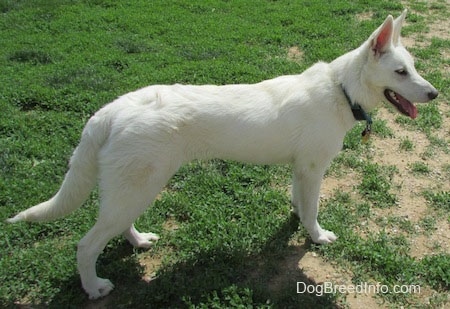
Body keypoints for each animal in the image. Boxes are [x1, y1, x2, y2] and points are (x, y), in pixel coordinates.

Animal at [6, 10, 436, 298]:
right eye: (400, 73)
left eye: (413, 68)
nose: (434, 94)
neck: (341, 90)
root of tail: (109, 110)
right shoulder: (314, 170)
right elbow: (313, 210)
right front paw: (316, 236)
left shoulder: (301, 171)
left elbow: (300, 203)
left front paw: (298, 220)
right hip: (139, 186)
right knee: (86, 244)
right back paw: (94, 286)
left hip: (132, 188)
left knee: (116, 225)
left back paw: (138, 241)